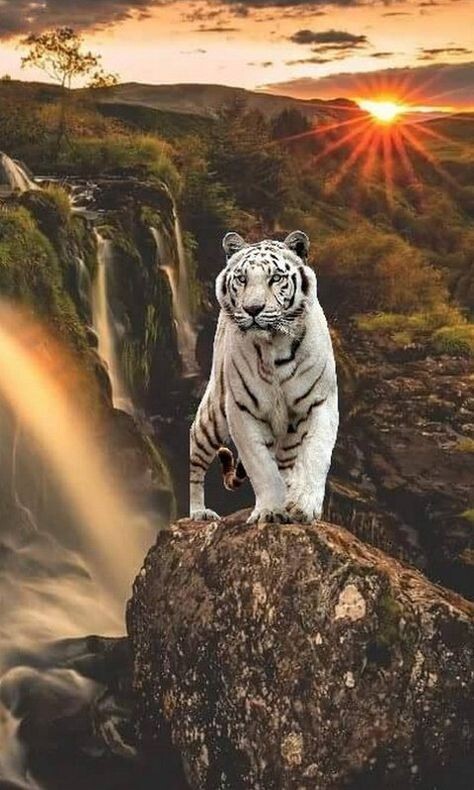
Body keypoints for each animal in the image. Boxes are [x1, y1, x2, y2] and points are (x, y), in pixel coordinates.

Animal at [189, 230, 339, 524]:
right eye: (242, 279)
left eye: (275, 278)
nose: (253, 309)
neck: (274, 347)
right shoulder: (242, 411)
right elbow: (261, 467)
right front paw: (270, 510)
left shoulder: (321, 402)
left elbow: (315, 454)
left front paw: (303, 506)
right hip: (213, 416)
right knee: (196, 458)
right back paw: (199, 512)